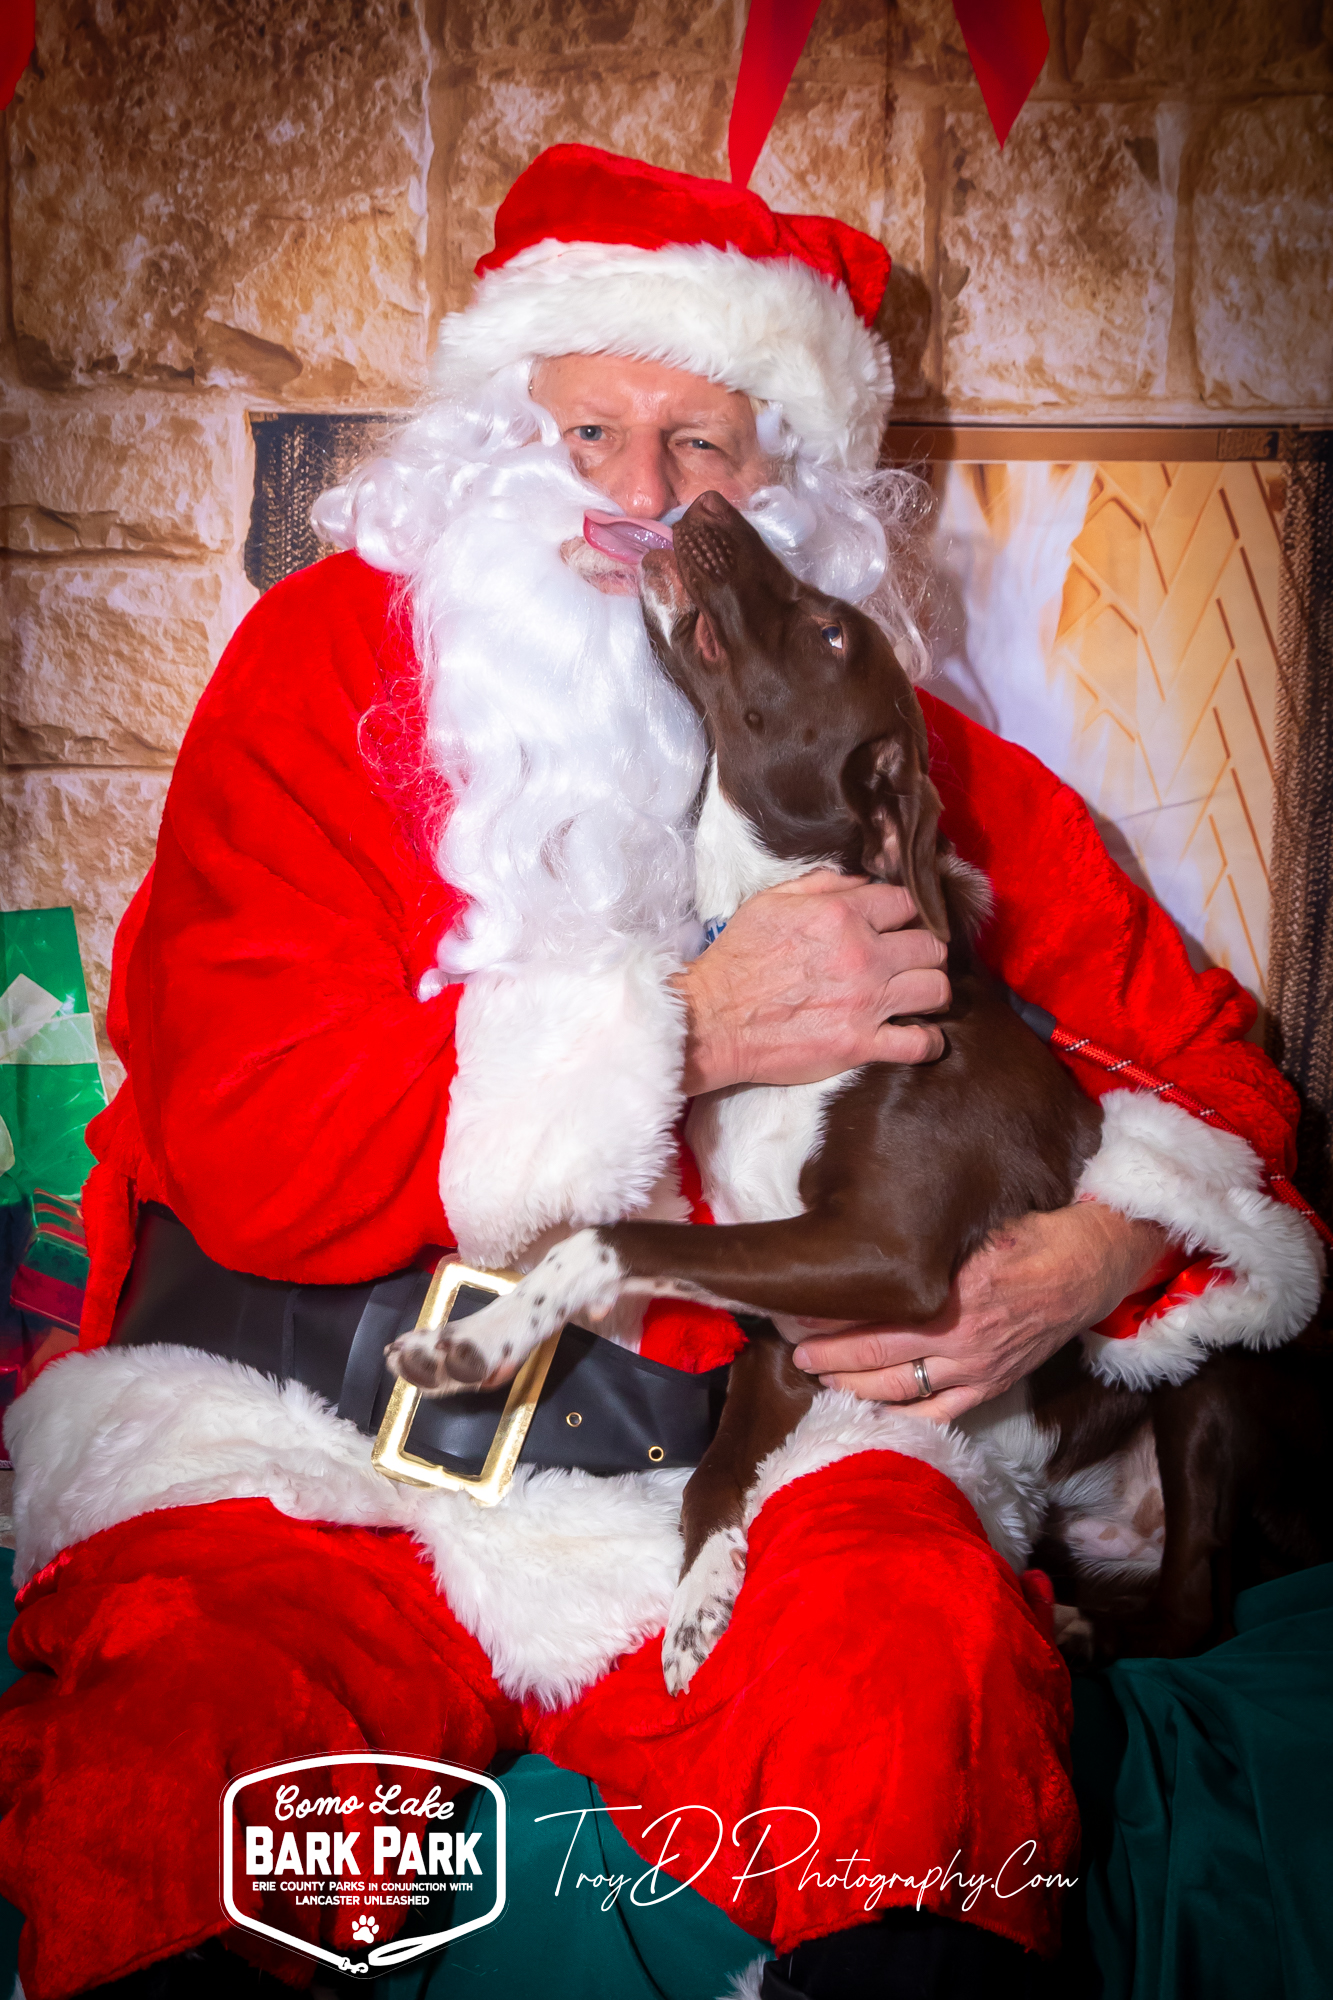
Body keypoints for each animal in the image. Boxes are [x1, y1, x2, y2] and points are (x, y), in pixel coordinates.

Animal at [388, 491, 1327, 1686]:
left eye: (831, 634)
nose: (707, 504)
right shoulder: (785, 1341)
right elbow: (708, 1474)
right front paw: (702, 1598)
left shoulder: (885, 1252)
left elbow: (610, 1237)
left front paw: (478, 1342)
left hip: (1223, 1377)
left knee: (1195, 1607)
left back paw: (1084, 1627)